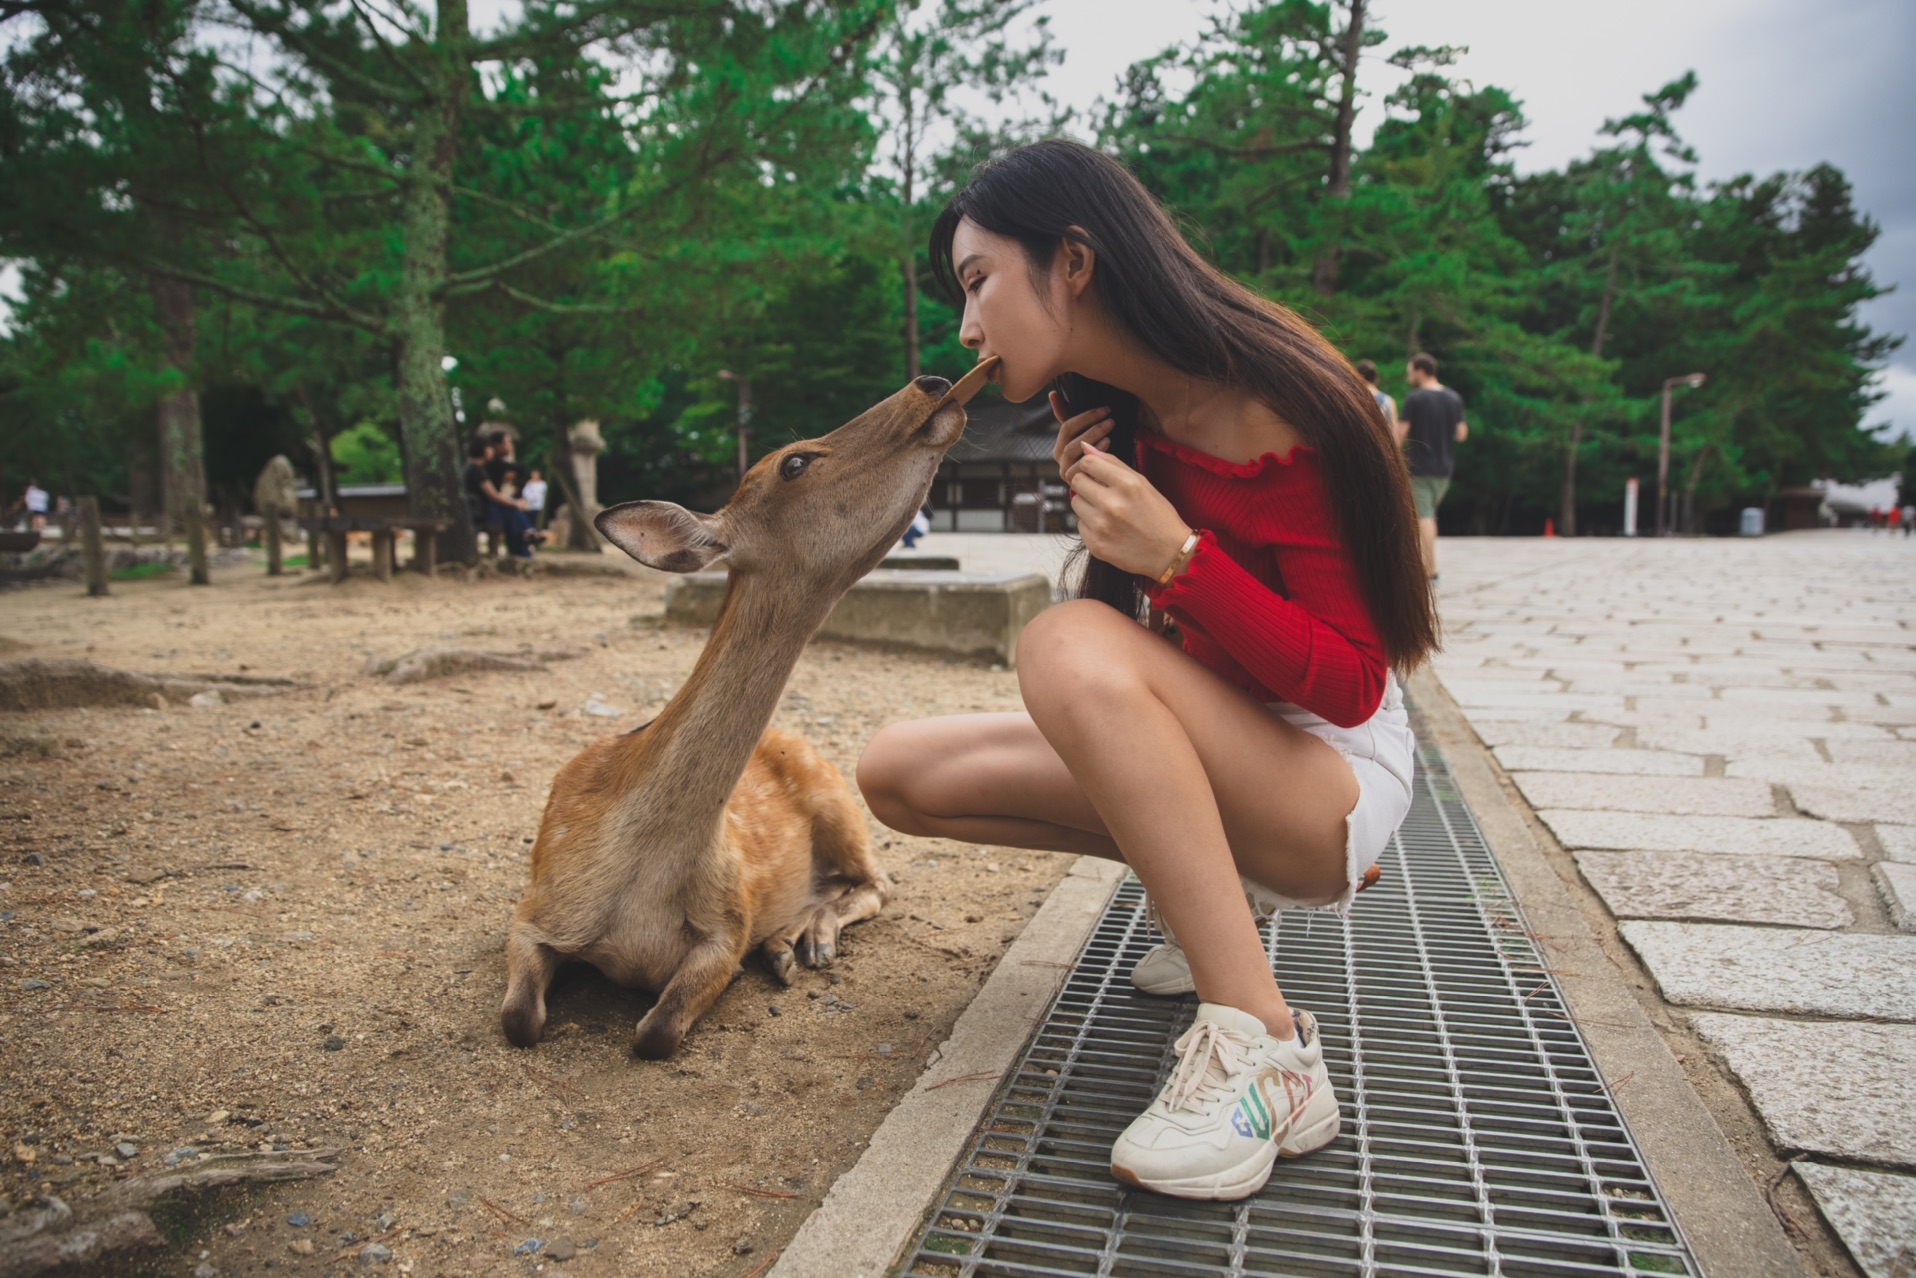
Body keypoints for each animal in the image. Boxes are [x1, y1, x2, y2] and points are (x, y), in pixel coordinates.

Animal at [501, 360, 996, 1057]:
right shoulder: (533, 908)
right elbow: (520, 1019)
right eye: (794, 462)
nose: (932, 381)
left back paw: (800, 939)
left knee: (879, 879)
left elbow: (656, 1032)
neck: (636, 880)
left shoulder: (726, 925)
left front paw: (768, 949)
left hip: (840, 799)